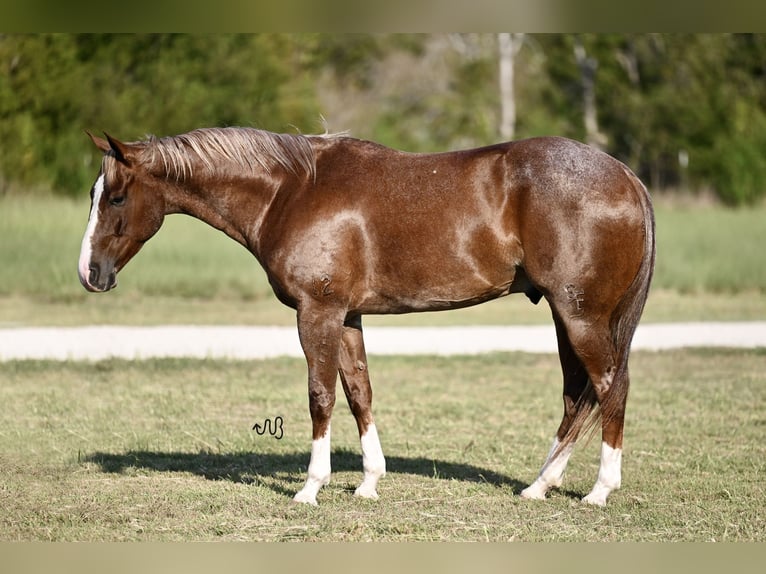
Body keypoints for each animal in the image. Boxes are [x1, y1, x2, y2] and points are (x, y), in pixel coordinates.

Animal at [76, 127, 656, 508]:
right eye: (95, 195)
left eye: (117, 197)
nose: (90, 273)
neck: (290, 190)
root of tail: (626, 175)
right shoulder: (348, 316)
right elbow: (359, 392)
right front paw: (369, 482)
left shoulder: (319, 312)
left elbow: (321, 396)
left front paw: (311, 487)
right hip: (566, 317)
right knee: (578, 396)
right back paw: (539, 486)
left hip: (580, 315)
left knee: (610, 387)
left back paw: (599, 492)